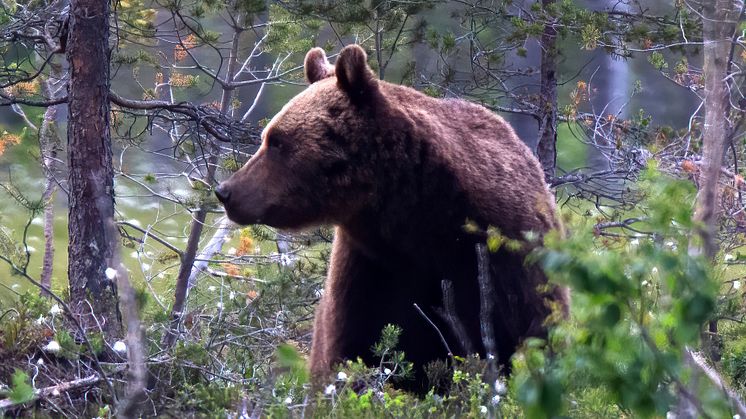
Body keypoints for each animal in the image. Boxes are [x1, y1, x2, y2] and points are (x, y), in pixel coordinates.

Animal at [214, 44, 564, 392]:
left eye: (277, 141)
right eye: (267, 137)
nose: (226, 191)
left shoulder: (501, 260)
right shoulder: (370, 271)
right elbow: (348, 354)